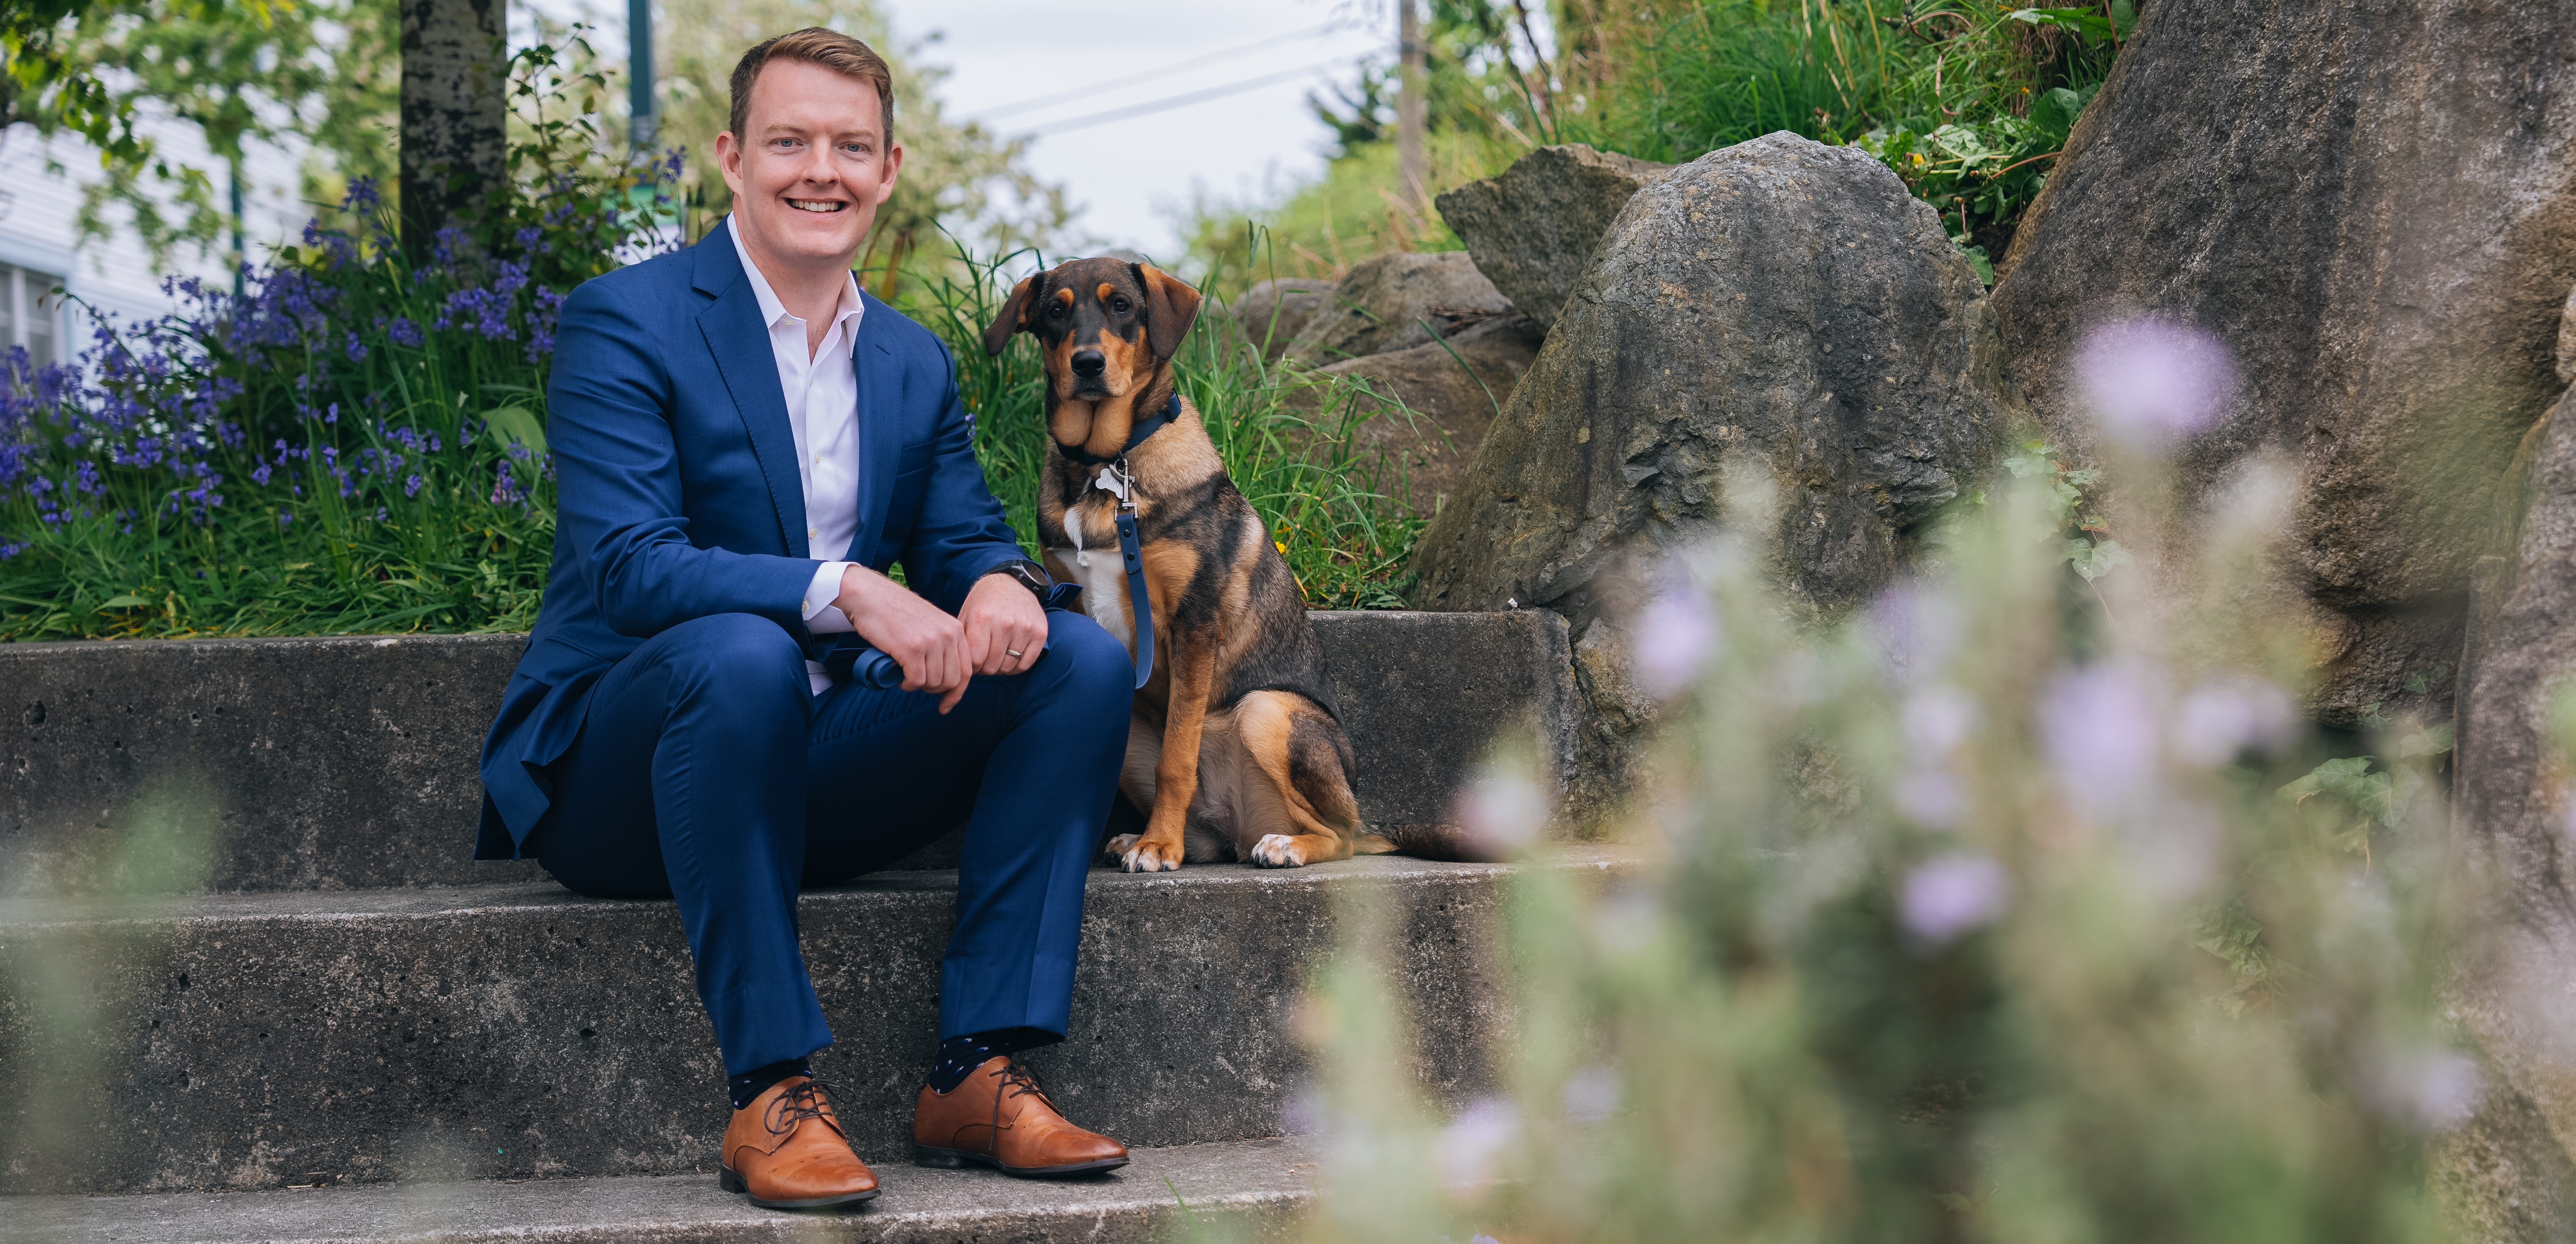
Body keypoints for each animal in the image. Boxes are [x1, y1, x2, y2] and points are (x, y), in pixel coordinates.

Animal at [984, 257, 1391, 870]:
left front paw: (1159, 847)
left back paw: (1281, 845)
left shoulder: (1193, 625)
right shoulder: (1075, 601)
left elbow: (1176, 758)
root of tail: (1241, 827)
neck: (1108, 466)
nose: (1088, 364)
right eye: (1055, 310)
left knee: (1341, 836)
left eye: (1122, 306)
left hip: (1267, 710)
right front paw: (1146, 839)